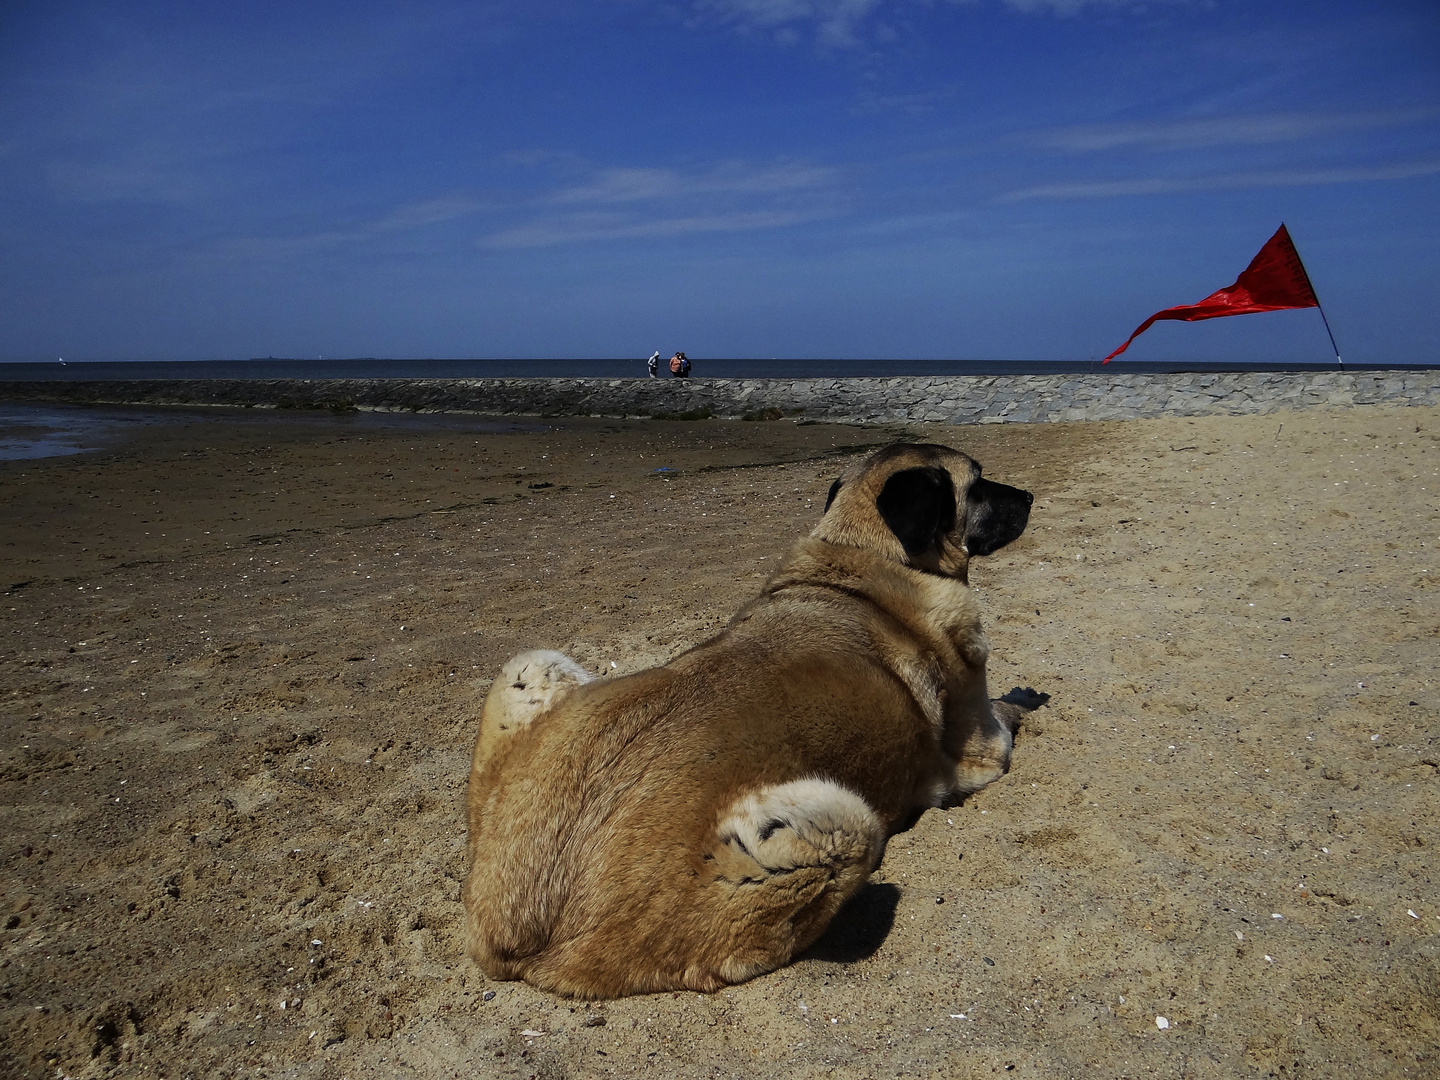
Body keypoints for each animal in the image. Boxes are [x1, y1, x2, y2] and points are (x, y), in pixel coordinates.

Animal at [466, 443, 1042, 1002]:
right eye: (978, 482)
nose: (1031, 496)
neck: (868, 553)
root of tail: (514, 934)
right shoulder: (983, 745)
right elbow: (1003, 719)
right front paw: (1021, 700)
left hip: (531, 664)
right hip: (842, 826)